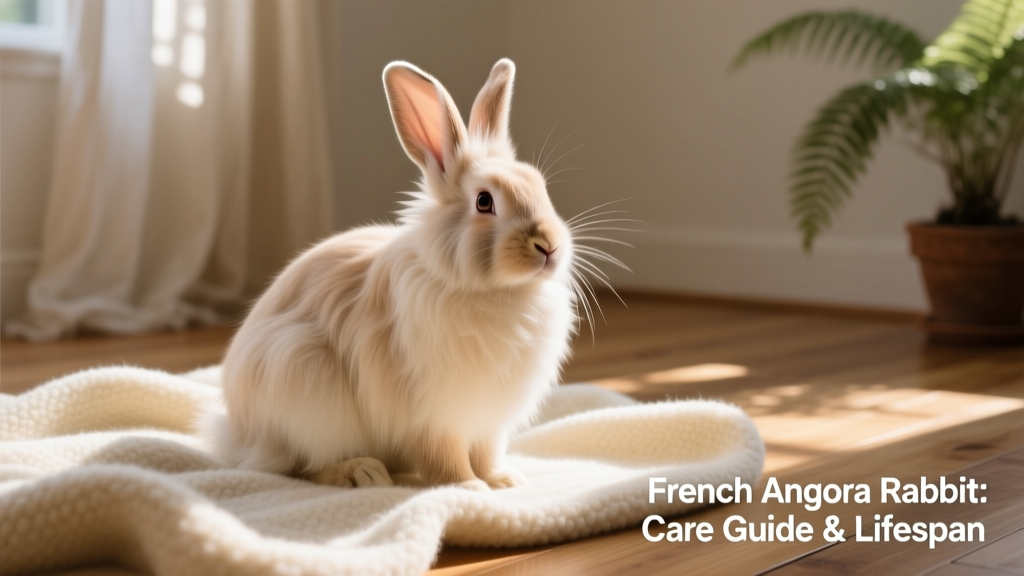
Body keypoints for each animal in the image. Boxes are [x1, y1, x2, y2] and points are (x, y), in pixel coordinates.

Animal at [204, 59, 580, 490]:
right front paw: (468, 488)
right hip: (302, 381)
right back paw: (363, 473)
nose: (549, 246)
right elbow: (446, 457)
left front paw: (504, 482)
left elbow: (486, 454)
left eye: (540, 186)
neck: (494, 291)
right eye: (484, 201)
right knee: (296, 468)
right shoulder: (438, 413)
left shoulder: (488, 421)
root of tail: (236, 432)